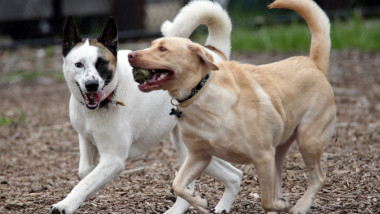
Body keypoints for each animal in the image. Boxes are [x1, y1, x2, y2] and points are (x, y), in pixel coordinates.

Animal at [50, 0, 242, 213]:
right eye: (78, 64)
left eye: (102, 64)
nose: (91, 85)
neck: (110, 95)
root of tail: (213, 53)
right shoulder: (85, 137)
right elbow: (85, 172)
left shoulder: (114, 160)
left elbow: (84, 183)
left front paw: (65, 204)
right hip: (196, 148)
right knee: (235, 174)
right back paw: (222, 206)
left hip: (189, 148)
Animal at [130, 0, 336, 212]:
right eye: (152, 45)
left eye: (163, 49)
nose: (130, 54)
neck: (201, 93)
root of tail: (313, 64)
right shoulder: (199, 156)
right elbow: (178, 184)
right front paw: (200, 202)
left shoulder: (263, 157)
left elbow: (266, 200)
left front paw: (281, 205)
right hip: (280, 148)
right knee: (280, 179)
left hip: (307, 139)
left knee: (318, 177)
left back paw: (300, 206)